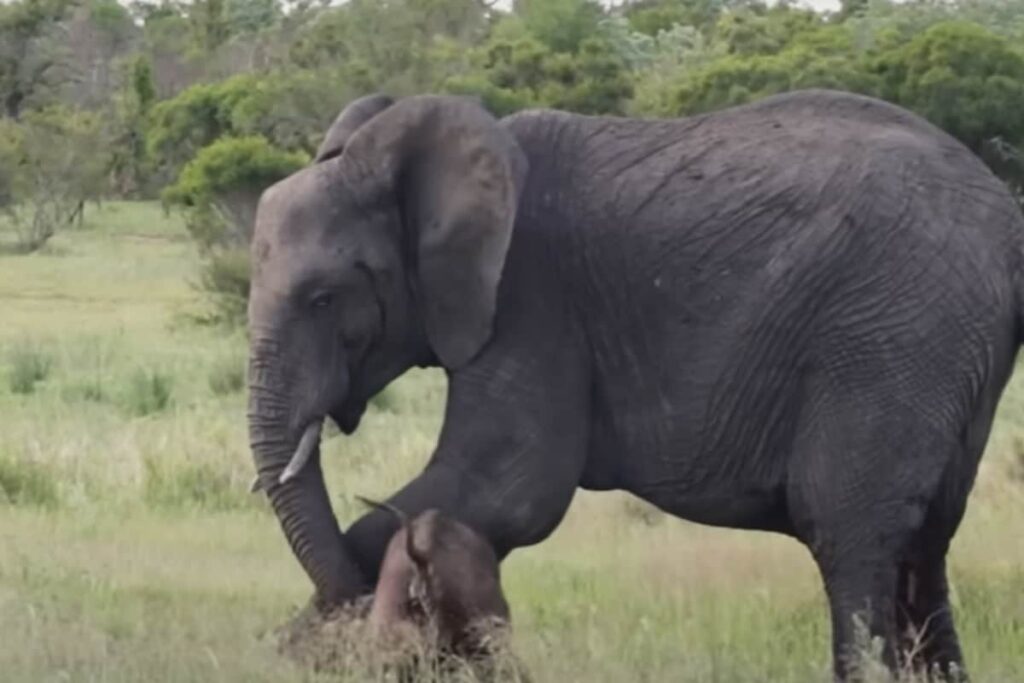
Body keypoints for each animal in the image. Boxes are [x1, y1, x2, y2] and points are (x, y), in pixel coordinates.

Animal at [246, 88, 1024, 680]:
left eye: (323, 298)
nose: (358, 611)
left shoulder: (533, 297)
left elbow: (509, 489)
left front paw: (320, 645)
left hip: (892, 332)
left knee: (848, 531)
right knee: (925, 541)